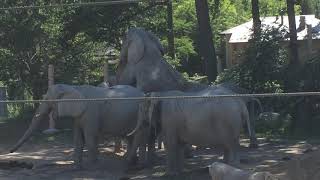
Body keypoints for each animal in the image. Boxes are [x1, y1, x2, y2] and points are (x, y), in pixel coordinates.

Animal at [9, 83, 144, 168]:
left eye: (47, 99)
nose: (10, 152)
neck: (74, 87)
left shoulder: (90, 113)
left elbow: (89, 137)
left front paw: (93, 165)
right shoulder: (78, 115)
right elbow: (78, 139)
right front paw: (77, 167)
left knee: (135, 136)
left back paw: (129, 162)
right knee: (130, 137)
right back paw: (130, 161)